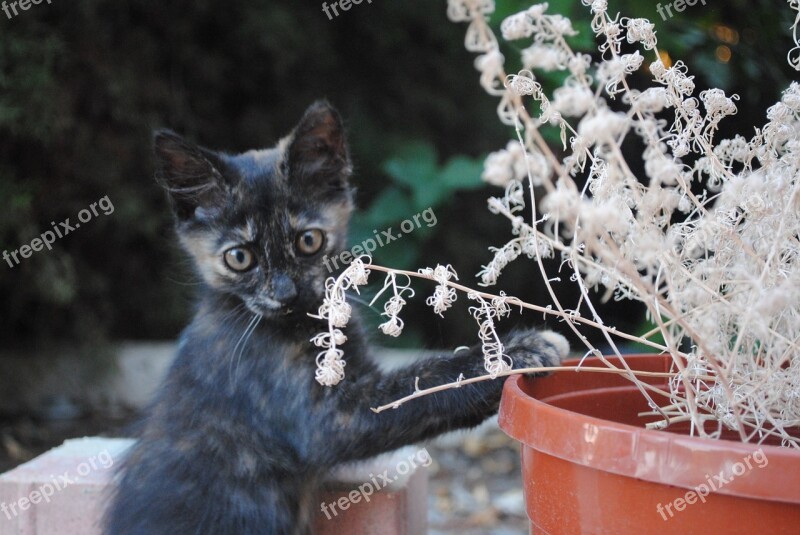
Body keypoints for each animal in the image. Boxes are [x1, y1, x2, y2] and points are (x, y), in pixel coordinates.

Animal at [104, 101, 568, 535]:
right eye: (239, 258)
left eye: (309, 241)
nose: (285, 293)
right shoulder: (328, 418)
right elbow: (422, 386)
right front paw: (518, 351)